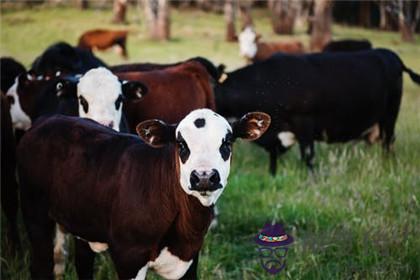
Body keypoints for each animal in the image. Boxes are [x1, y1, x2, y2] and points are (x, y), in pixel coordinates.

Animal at [17, 109, 270, 280]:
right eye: (181, 144)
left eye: (226, 143)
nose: (204, 176)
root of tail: (47, 119)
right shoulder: (129, 256)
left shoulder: (190, 257)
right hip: (34, 213)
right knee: (40, 264)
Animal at [215, 48, 420, 175]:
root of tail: (390, 54)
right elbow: (274, 157)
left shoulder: (304, 123)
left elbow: (308, 156)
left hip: (390, 115)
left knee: (388, 142)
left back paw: (387, 164)